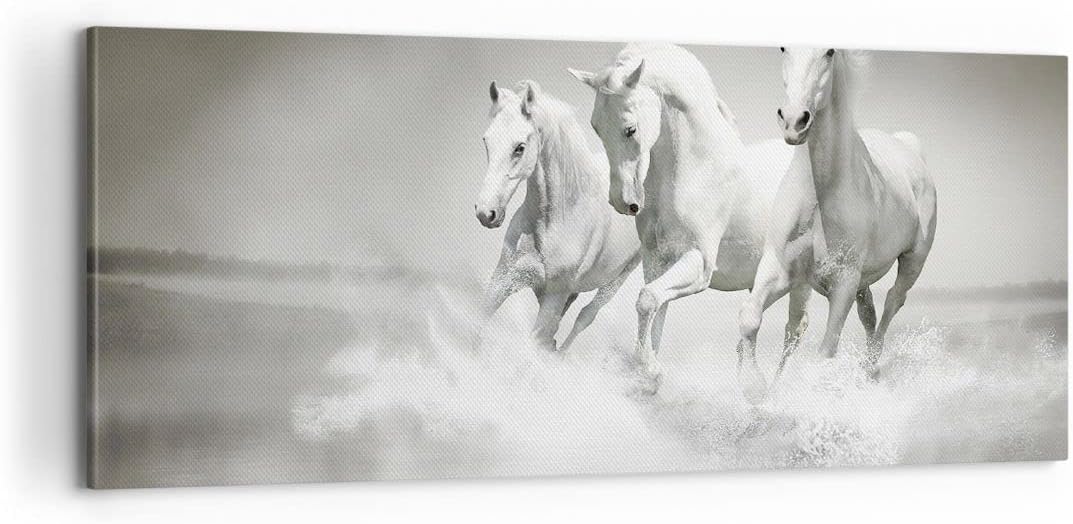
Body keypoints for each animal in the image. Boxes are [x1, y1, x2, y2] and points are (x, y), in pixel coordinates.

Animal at [476, 80, 641, 352]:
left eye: (519, 148)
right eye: (486, 141)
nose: (485, 213)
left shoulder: (554, 295)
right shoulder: (504, 278)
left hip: (618, 278)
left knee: (585, 316)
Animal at [569, 43, 807, 398]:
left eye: (630, 129)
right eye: (596, 126)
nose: (622, 202)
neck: (696, 168)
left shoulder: (699, 263)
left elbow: (646, 301)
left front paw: (651, 372)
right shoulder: (657, 260)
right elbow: (655, 310)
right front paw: (647, 378)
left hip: (801, 280)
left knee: (795, 330)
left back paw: (768, 391)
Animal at [737, 47, 936, 391]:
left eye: (829, 52)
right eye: (782, 48)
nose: (794, 121)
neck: (820, 193)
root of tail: (907, 145)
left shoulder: (843, 281)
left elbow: (826, 350)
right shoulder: (781, 268)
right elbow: (751, 317)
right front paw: (755, 389)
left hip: (913, 260)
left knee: (893, 302)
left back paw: (871, 368)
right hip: (862, 281)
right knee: (868, 314)